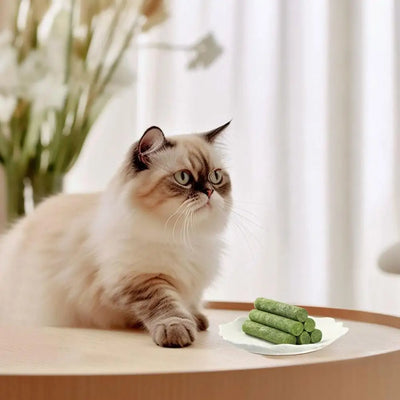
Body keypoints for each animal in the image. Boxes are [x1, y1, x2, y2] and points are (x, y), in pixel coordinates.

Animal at [0, 122, 231, 346]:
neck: (188, 236)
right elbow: (166, 305)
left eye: (216, 177)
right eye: (183, 178)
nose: (209, 191)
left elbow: (189, 301)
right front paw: (177, 329)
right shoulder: (141, 279)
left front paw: (196, 319)